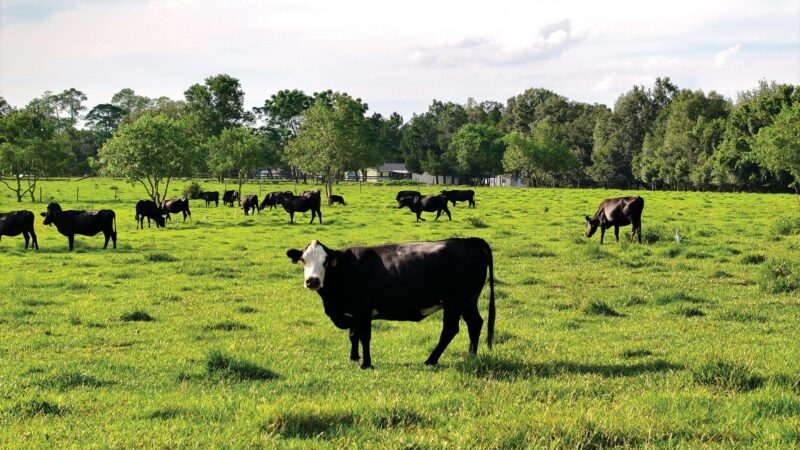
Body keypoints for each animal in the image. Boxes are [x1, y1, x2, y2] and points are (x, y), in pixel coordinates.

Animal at [286, 238, 495, 369]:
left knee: (450, 329)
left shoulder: (363, 310)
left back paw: (431, 360)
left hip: (455, 302)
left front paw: (365, 363)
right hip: (468, 301)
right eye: (303, 260)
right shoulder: (353, 312)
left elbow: (364, 336)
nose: (312, 281)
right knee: (475, 323)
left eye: (326, 261)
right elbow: (353, 335)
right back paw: (471, 355)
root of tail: (469, 240)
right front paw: (354, 357)